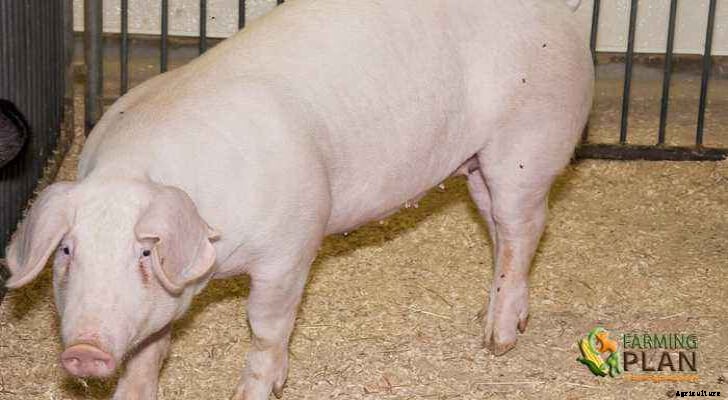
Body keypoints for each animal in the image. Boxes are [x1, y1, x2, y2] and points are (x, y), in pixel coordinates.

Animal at [3, 0, 593, 398]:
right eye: (67, 252)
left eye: (144, 253)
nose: (84, 351)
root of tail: (561, 13)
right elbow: (152, 346)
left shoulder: (290, 248)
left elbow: (266, 329)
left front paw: (252, 392)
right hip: (478, 167)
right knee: (497, 226)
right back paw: (491, 318)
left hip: (528, 140)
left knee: (524, 229)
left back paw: (498, 340)